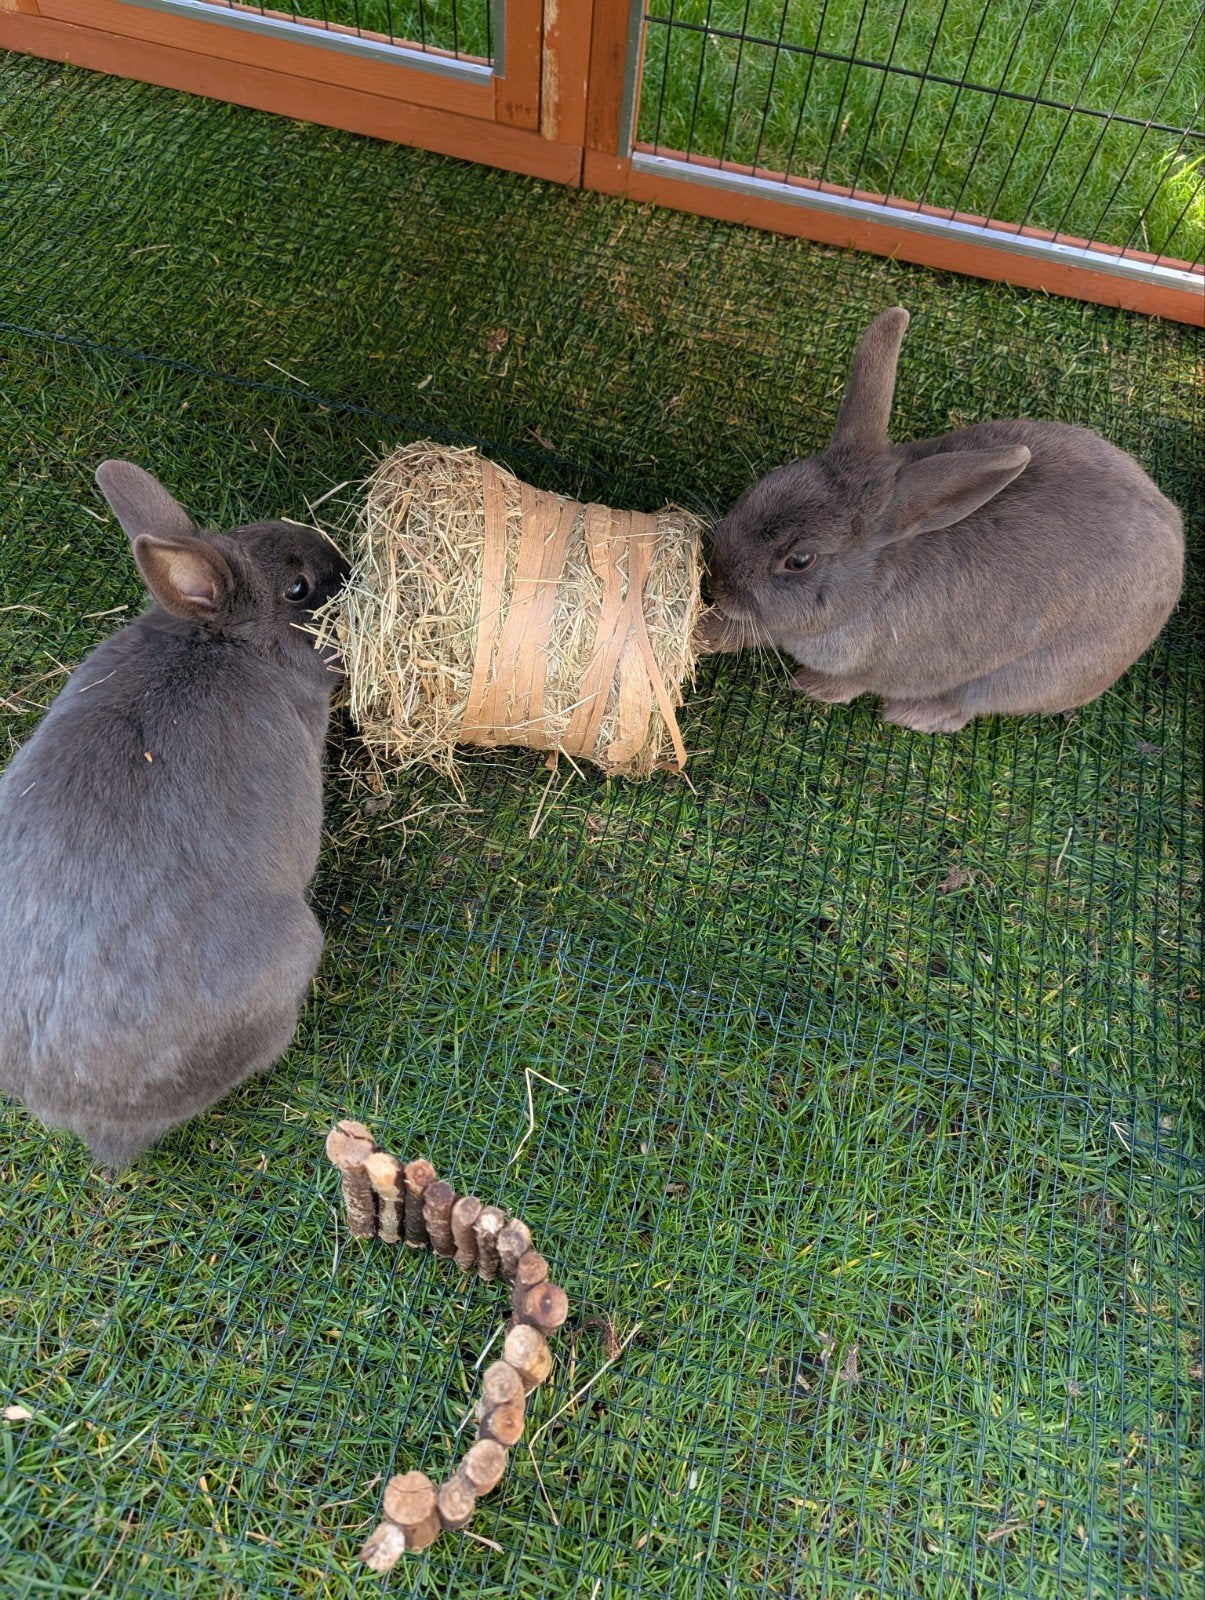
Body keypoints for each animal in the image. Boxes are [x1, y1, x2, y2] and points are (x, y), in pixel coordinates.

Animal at [698, 307, 1184, 733]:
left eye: (799, 560)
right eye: (764, 485)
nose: (716, 582)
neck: (873, 585)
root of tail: (1176, 548)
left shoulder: (869, 661)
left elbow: (848, 680)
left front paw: (813, 687)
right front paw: (706, 631)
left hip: (1011, 680)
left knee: (964, 707)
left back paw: (913, 715)